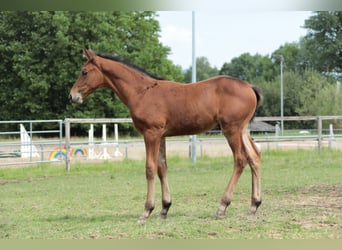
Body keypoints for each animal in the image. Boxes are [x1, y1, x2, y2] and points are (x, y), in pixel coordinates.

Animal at [69, 48, 262, 225]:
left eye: (84, 72)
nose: (72, 96)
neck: (142, 92)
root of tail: (249, 87)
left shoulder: (151, 133)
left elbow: (150, 168)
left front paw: (146, 211)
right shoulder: (161, 136)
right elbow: (162, 167)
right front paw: (164, 208)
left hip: (231, 129)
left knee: (240, 160)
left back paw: (222, 206)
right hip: (242, 130)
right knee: (255, 157)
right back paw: (254, 205)